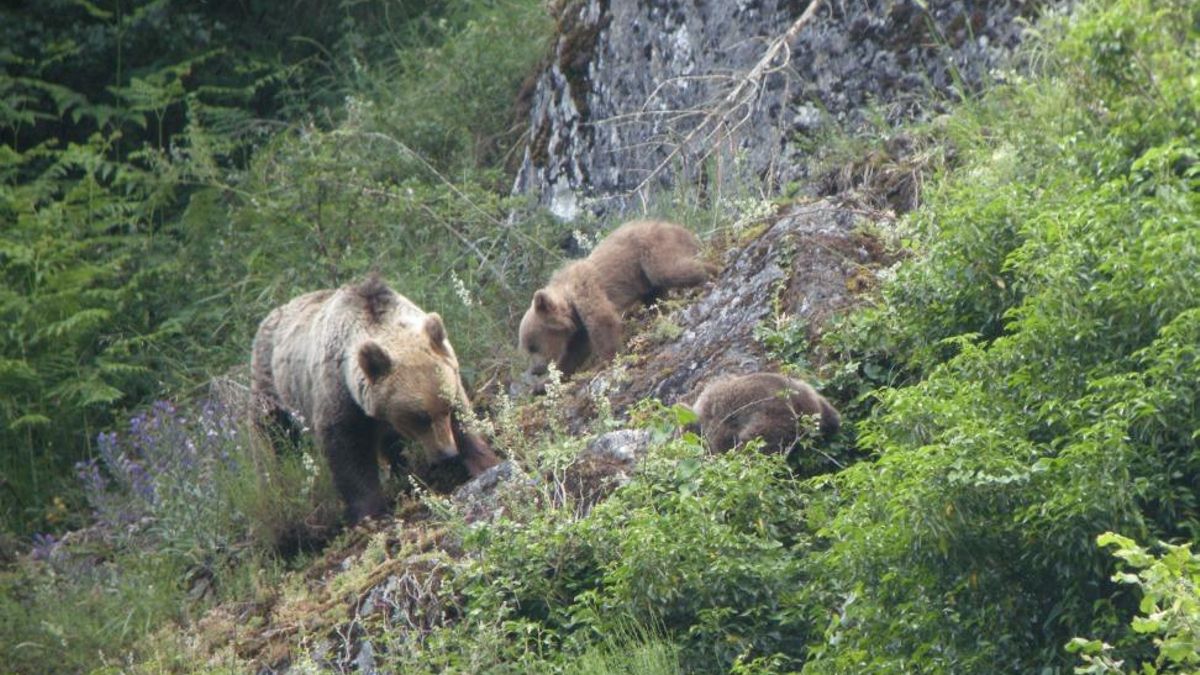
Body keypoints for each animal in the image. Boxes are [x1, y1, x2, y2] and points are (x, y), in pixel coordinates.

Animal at [251, 276, 499, 522]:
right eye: (419, 417)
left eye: (446, 407)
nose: (447, 454)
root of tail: (272, 315)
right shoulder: (340, 397)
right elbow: (348, 452)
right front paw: (369, 512)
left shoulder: (448, 376)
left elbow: (465, 422)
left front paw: (483, 461)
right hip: (271, 387)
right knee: (274, 435)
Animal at [518, 219, 713, 379]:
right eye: (527, 348)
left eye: (533, 346)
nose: (535, 370)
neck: (569, 299)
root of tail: (679, 228)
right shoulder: (578, 325)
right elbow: (577, 349)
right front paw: (547, 382)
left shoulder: (587, 290)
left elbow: (603, 321)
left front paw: (608, 360)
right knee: (655, 293)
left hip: (652, 249)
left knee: (669, 270)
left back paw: (710, 271)